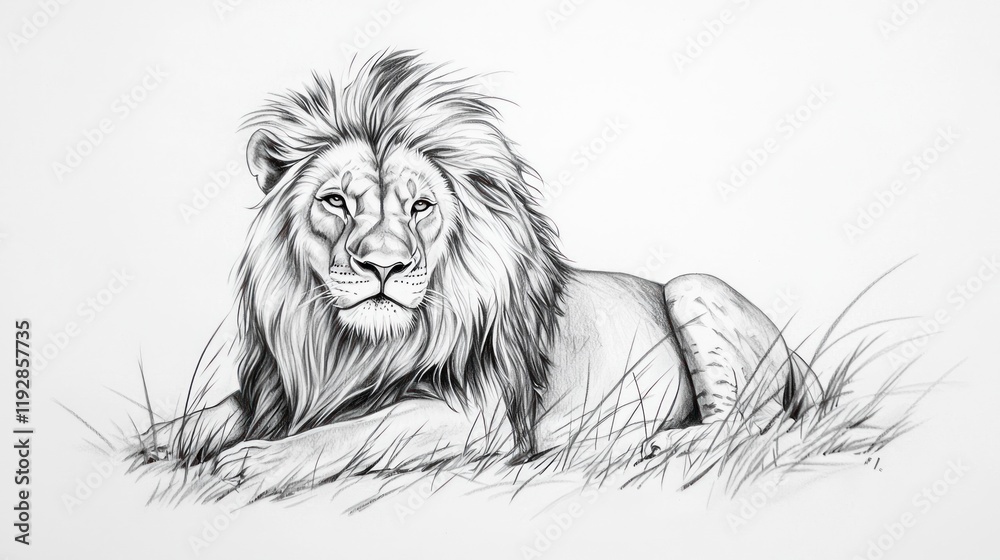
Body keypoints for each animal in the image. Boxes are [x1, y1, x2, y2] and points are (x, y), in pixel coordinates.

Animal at [142, 50, 821, 493]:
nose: (383, 265)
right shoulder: (277, 391)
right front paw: (161, 438)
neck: (350, 345)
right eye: (335, 201)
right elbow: (220, 412)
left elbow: (359, 431)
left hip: (692, 288)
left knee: (753, 421)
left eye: (421, 207)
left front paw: (255, 462)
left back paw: (662, 441)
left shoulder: (478, 417)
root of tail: (795, 360)